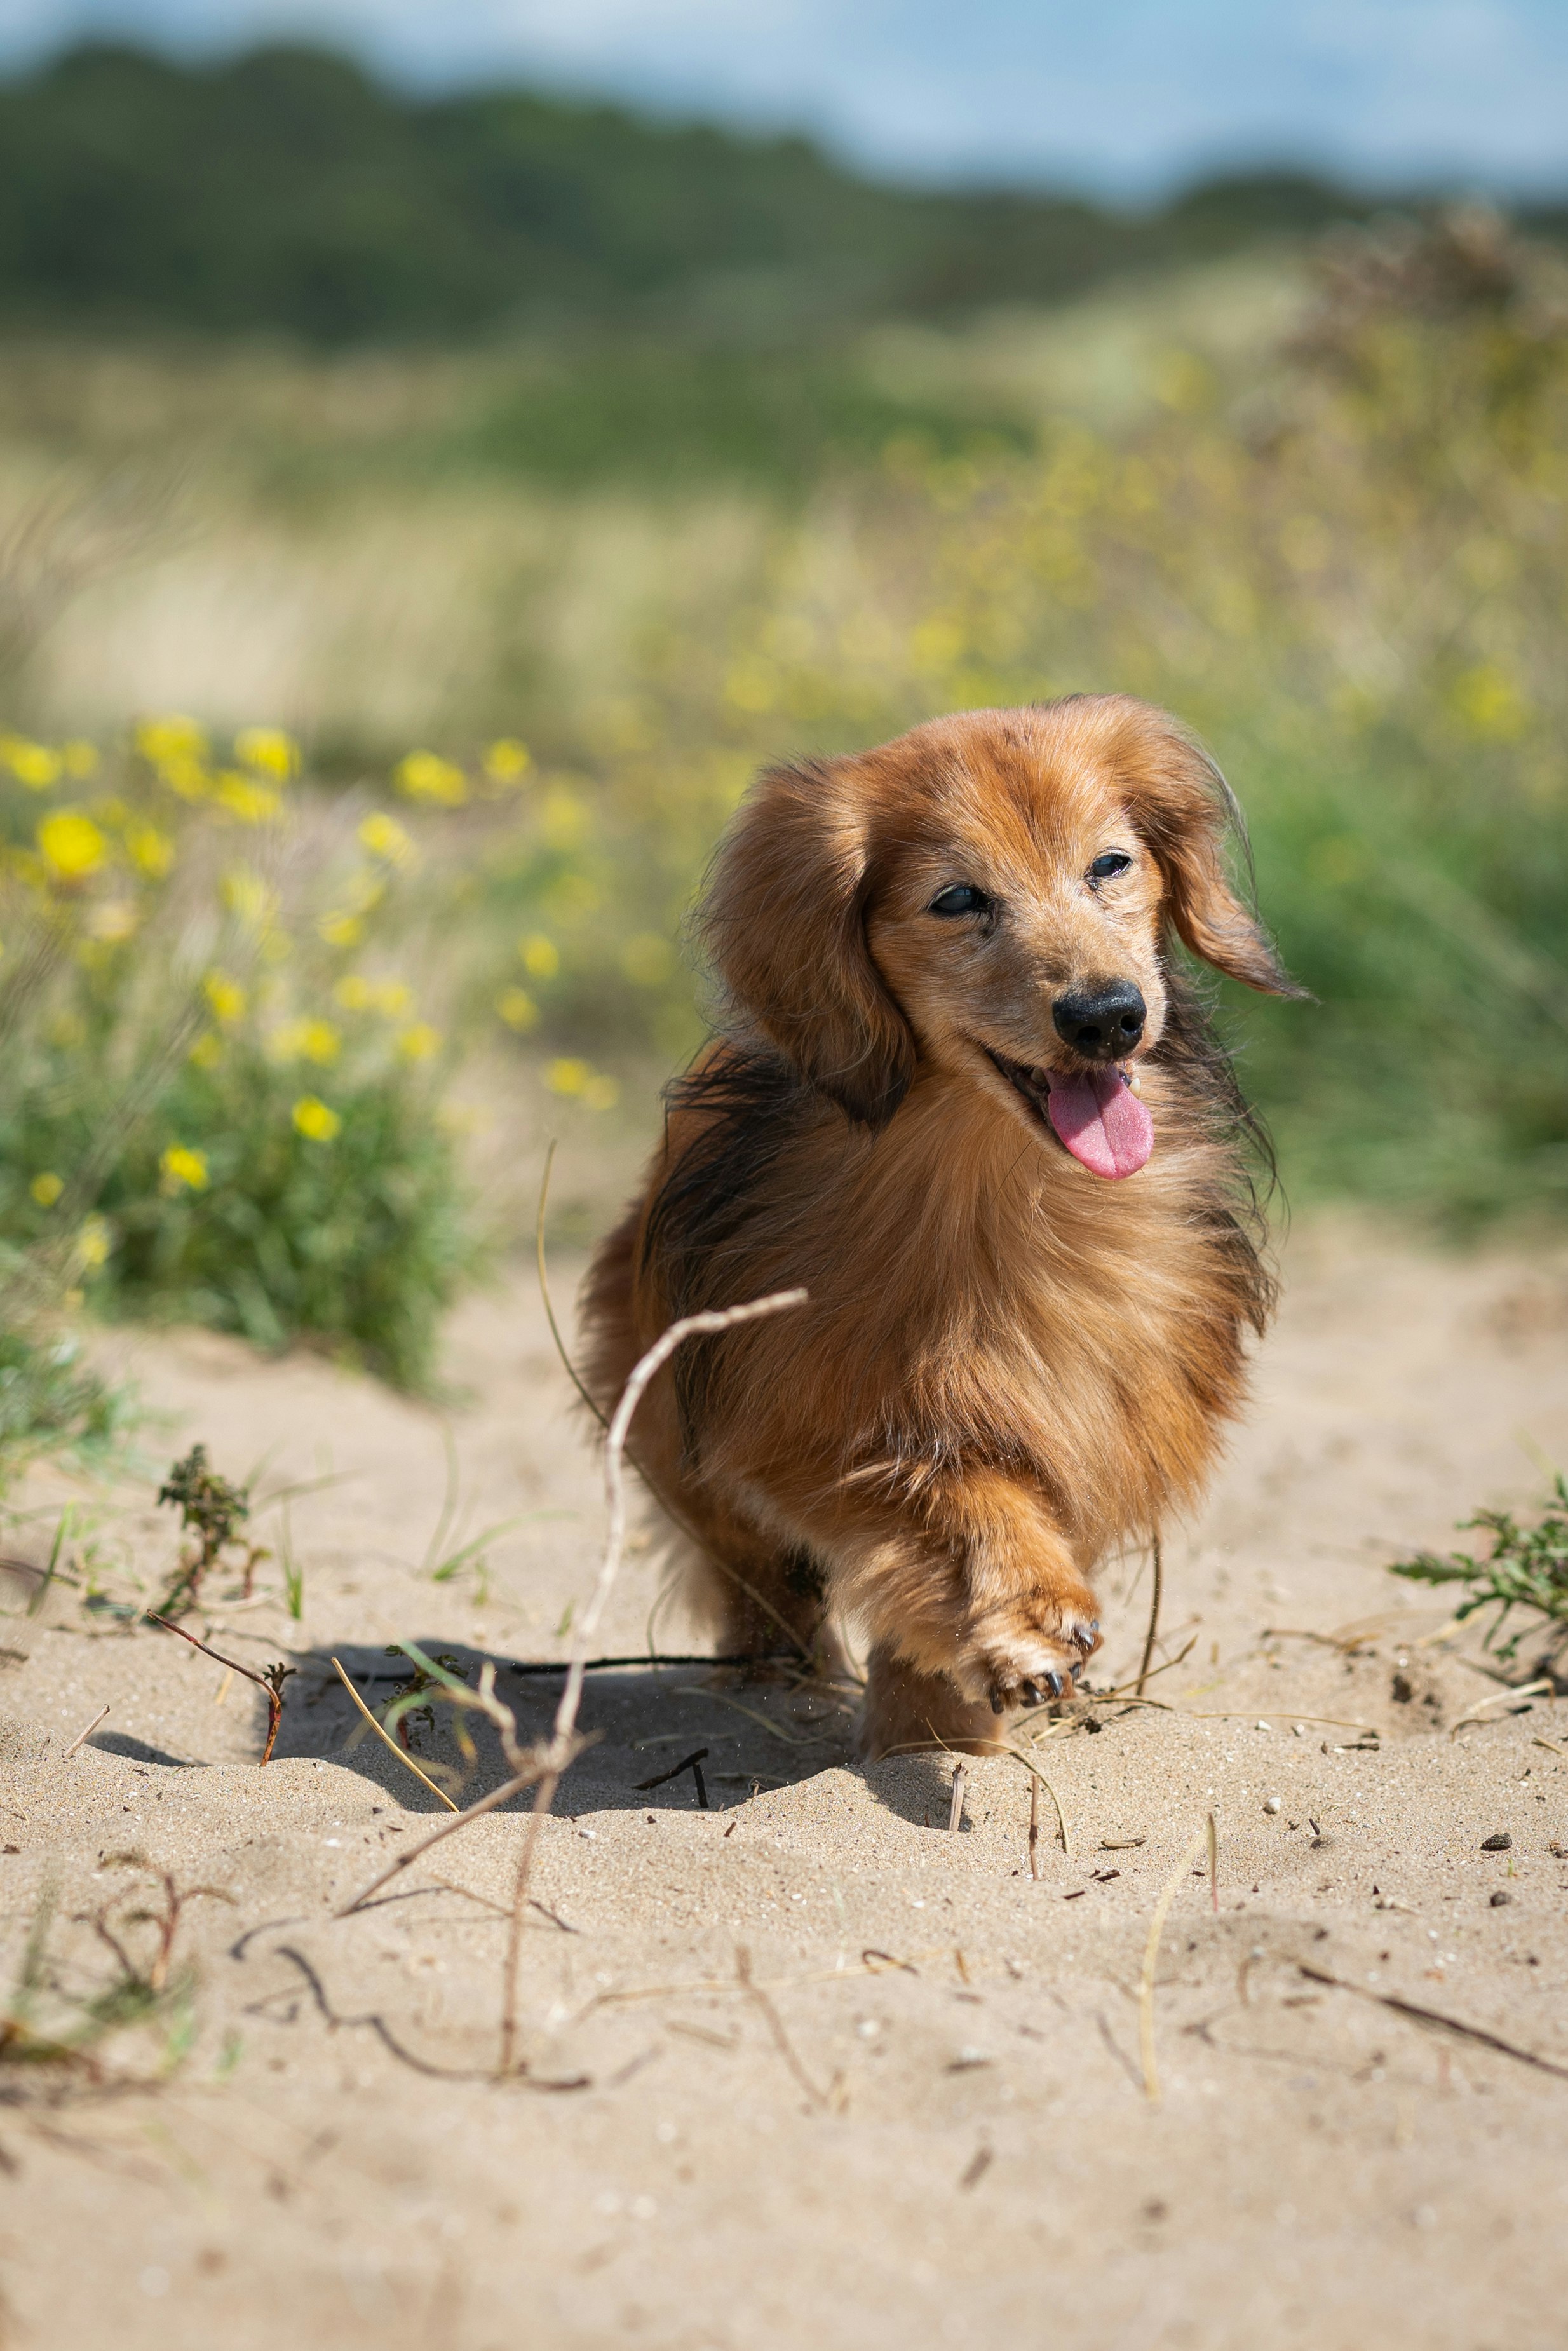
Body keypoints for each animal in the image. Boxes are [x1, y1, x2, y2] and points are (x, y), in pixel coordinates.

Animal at [580, 686, 1297, 1758]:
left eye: (1111, 865)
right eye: (958, 900)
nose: (1108, 1016)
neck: (1000, 1195)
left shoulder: (1099, 1410)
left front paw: (954, 1721)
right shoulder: (812, 1420)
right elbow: (949, 1493)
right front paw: (1019, 1623)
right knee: (757, 1574)